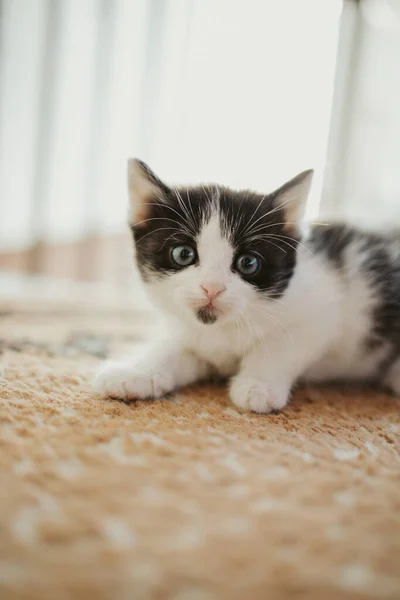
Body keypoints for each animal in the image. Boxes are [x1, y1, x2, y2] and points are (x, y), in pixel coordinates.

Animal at [94, 159, 400, 412]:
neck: (223, 329)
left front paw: (258, 385)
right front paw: (136, 371)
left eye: (248, 263)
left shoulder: (323, 310)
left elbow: (282, 342)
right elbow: (174, 347)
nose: (212, 288)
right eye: (183, 254)